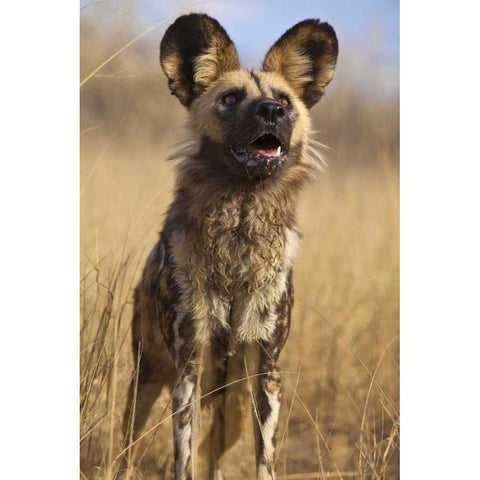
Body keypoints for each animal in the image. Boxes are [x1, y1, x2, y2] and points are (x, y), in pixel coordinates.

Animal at [120, 13, 338, 480]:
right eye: (230, 98)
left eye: (284, 101)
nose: (271, 111)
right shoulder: (188, 368)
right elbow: (183, 460)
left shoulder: (267, 372)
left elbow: (263, 460)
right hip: (146, 383)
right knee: (129, 447)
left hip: (234, 408)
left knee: (212, 457)